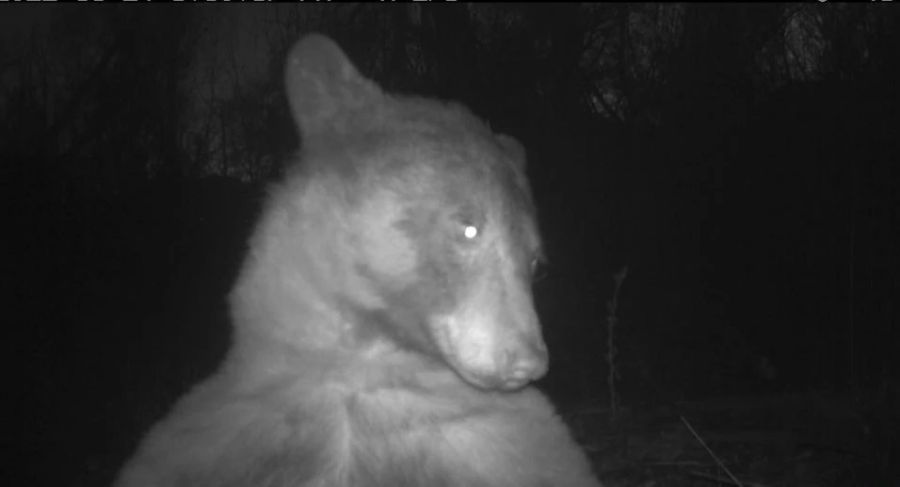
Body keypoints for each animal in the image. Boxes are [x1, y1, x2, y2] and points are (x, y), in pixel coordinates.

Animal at [114, 35, 604, 487]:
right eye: (468, 227)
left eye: (537, 263)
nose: (528, 361)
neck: (363, 360)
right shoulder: (219, 432)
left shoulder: (502, 441)